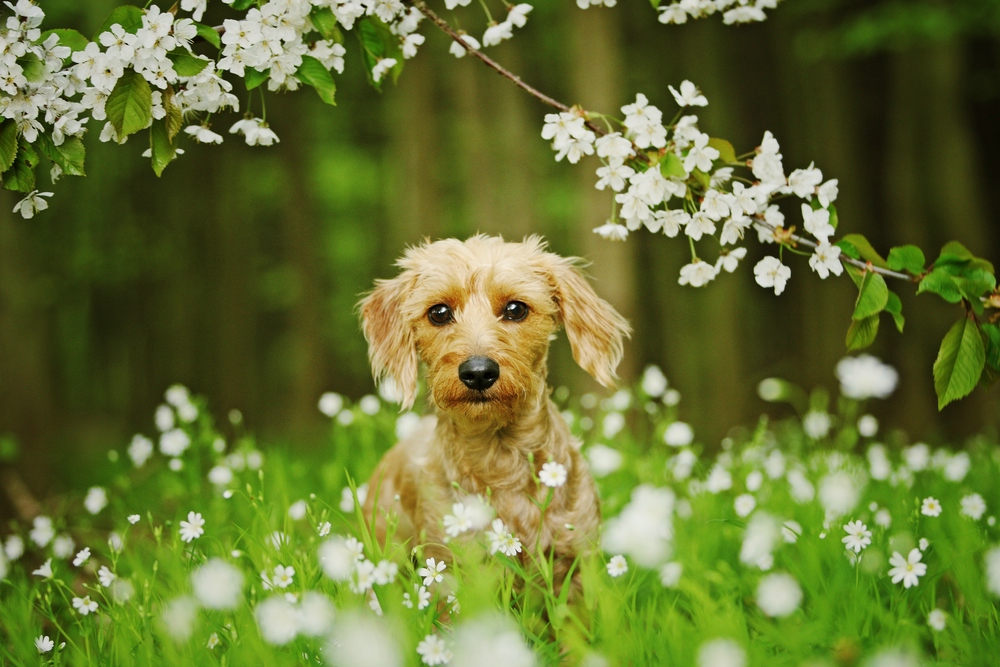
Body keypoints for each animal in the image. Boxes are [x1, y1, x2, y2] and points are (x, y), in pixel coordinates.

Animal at [356, 235, 628, 580]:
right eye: (439, 312)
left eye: (515, 309)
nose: (478, 373)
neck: (498, 455)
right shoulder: (448, 567)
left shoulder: (580, 562)